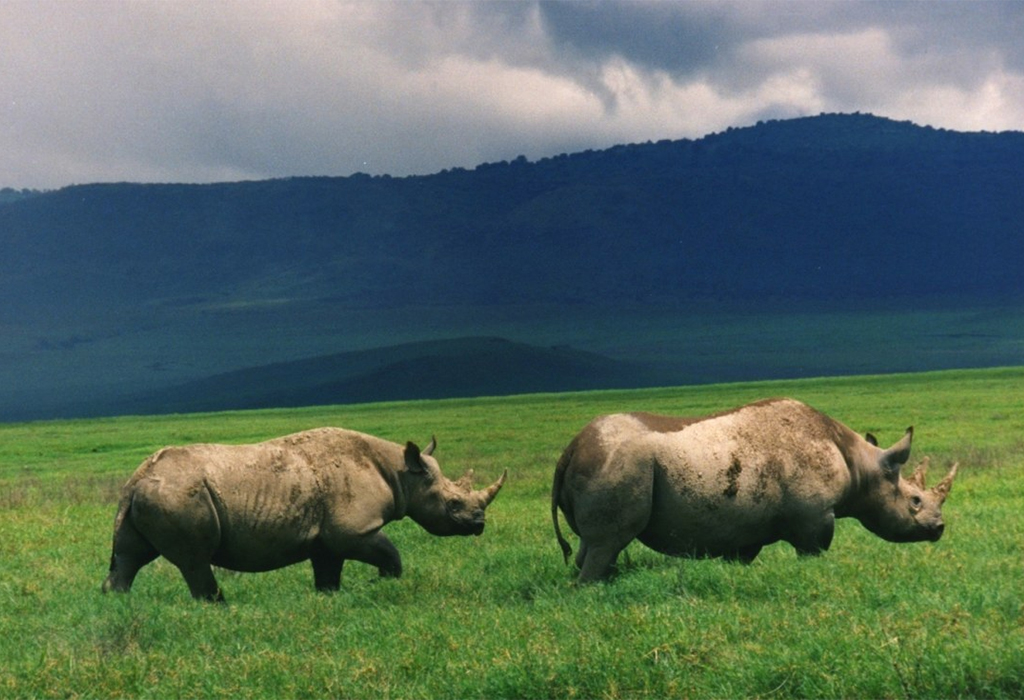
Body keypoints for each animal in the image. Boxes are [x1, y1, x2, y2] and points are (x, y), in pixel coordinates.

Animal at [102, 428, 506, 601]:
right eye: (453, 505)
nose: (479, 524)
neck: (402, 473)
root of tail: (135, 480)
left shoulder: (326, 538)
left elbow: (328, 573)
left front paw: (331, 598)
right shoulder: (353, 529)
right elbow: (390, 554)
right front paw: (381, 584)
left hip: (150, 496)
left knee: (129, 556)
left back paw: (117, 603)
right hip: (178, 495)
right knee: (194, 560)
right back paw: (219, 606)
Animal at [552, 398, 958, 582]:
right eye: (915, 501)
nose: (939, 529)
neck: (863, 466)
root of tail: (571, 448)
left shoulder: (744, 528)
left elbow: (740, 556)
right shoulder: (814, 518)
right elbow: (813, 551)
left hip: (606, 461)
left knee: (593, 544)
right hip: (619, 462)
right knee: (607, 543)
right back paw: (593, 587)